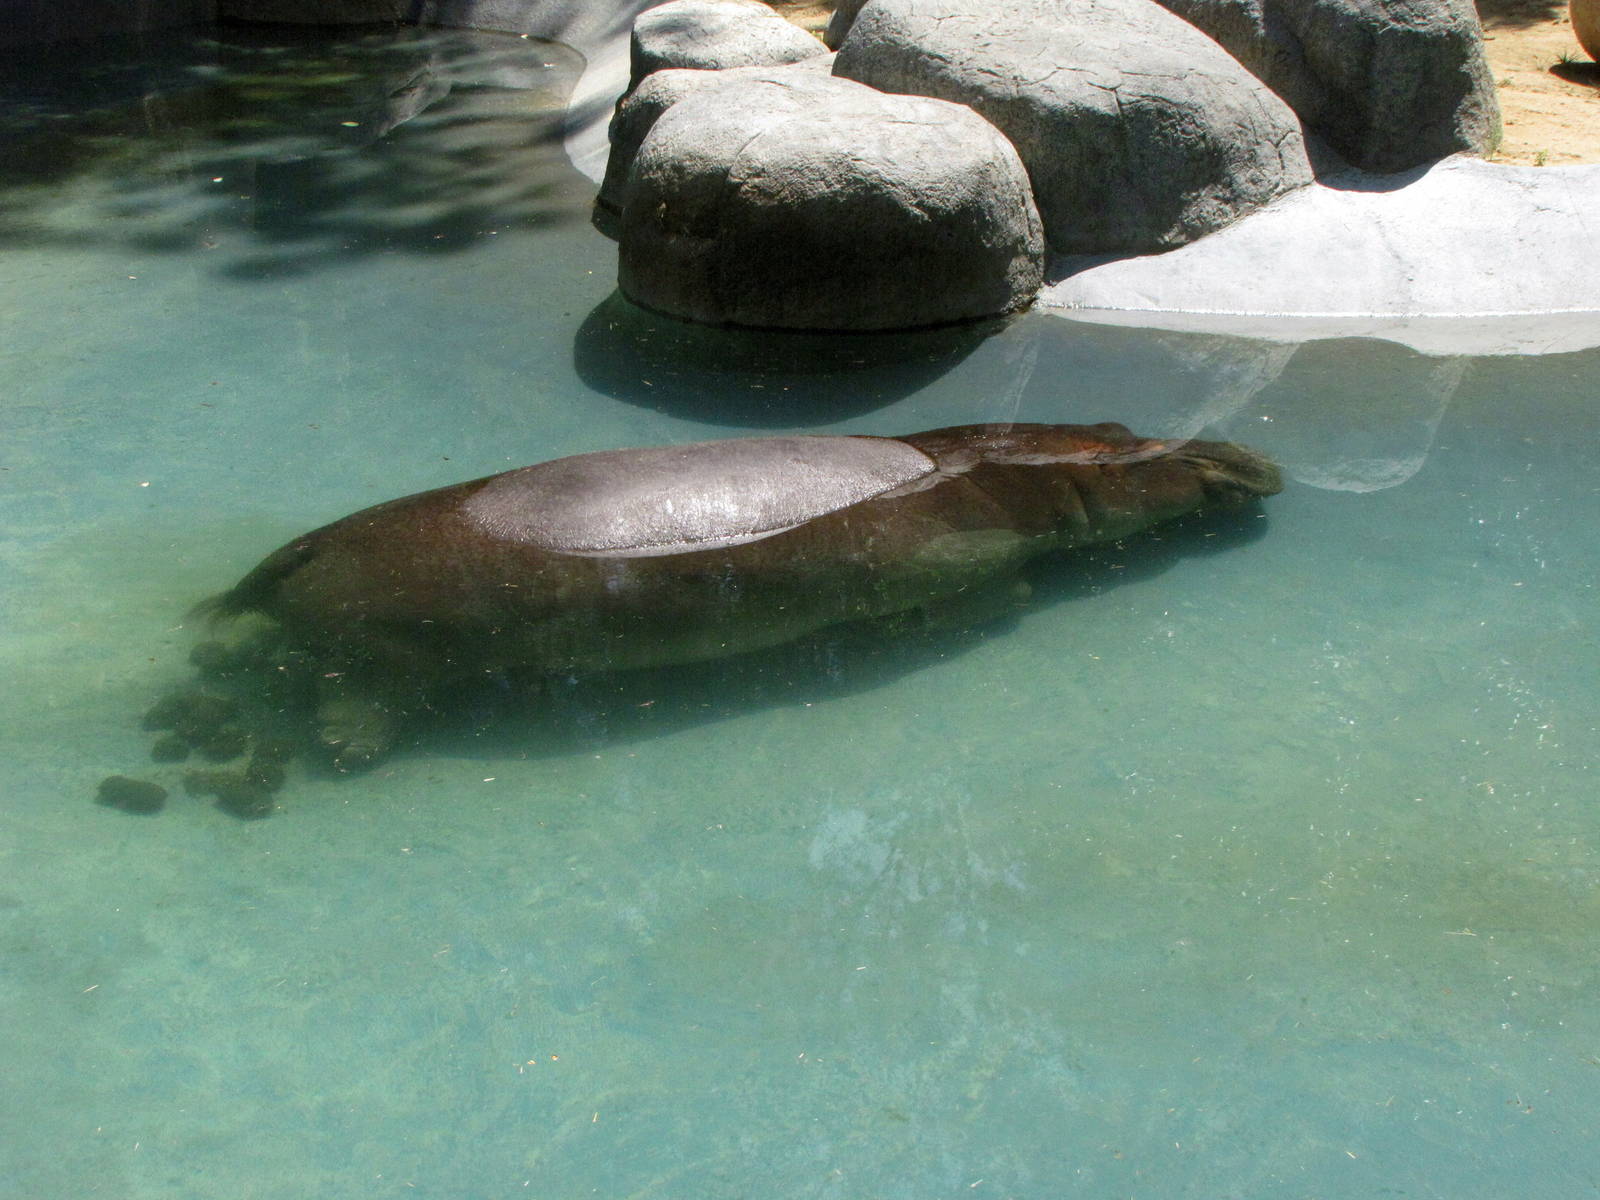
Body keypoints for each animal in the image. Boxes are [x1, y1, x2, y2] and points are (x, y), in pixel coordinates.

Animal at [197, 423, 1282, 768]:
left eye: (1125, 420)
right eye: (1161, 459)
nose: (1244, 454)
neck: (1023, 462)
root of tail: (292, 554)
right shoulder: (954, 559)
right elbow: (984, 593)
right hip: (393, 655)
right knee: (356, 693)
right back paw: (347, 749)